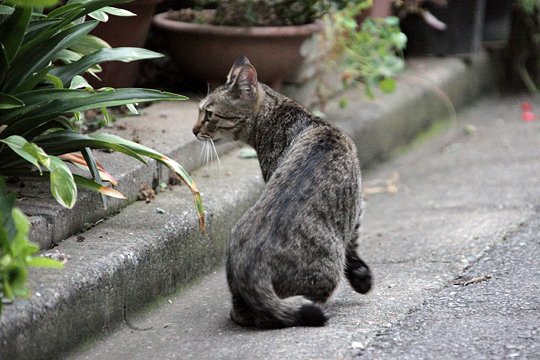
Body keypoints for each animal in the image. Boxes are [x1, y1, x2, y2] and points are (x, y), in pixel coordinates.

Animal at [192, 54, 374, 328]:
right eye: (200, 111)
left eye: (209, 113)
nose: (194, 130)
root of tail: (254, 269)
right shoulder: (357, 209)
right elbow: (353, 246)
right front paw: (362, 279)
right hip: (327, 267)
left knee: (244, 312)